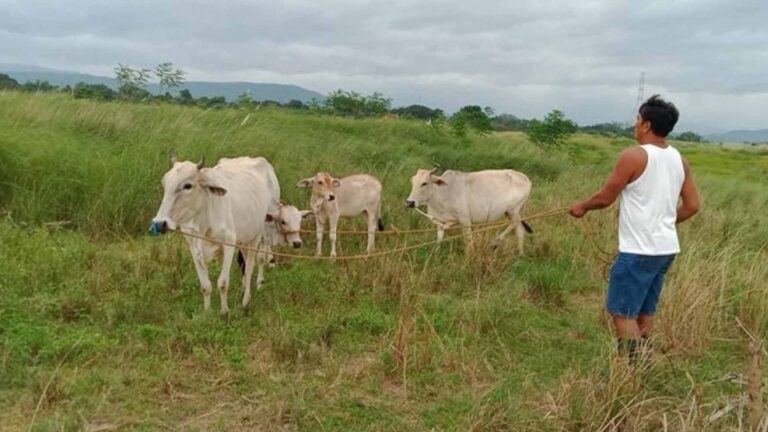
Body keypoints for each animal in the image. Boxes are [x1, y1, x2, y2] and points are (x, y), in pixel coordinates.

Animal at [150, 150, 279, 314]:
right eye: (165, 183)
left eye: (187, 185)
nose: (159, 224)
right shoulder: (194, 248)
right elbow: (205, 286)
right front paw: (207, 312)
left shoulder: (229, 244)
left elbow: (222, 283)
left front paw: (224, 312)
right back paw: (244, 289)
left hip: (260, 232)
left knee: (253, 264)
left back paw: (248, 297)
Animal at [404, 168, 533, 253]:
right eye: (412, 182)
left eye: (424, 183)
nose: (410, 202)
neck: (443, 192)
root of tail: (526, 178)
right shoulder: (440, 222)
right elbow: (439, 239)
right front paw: (435, 254)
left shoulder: (465, 220)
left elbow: (468, 240)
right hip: (511, 212)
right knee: (518, 228)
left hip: (513, 210)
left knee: (517, 226)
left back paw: (501, 244)